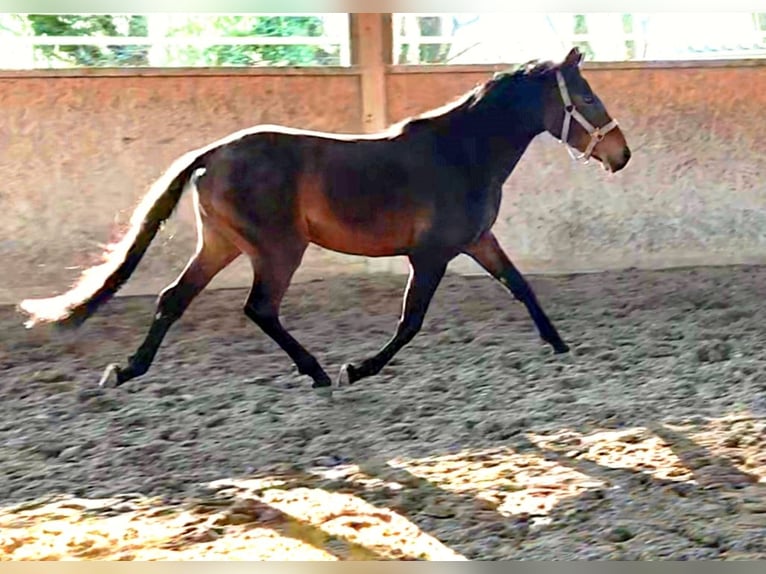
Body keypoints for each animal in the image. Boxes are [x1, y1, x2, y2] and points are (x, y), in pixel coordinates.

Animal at [18, 47, 630, 396]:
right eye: (588, 99)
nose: (621, 155)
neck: (461, 151)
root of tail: (213, 153)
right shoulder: (431, 253)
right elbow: (411, 321)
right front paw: (356, 369)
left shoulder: (478, 240)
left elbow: (521, 287)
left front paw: (560, 345)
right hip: (279, 250)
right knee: (259, 308)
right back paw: (315, 371)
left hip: (220, 244)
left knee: (174, 298)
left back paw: (126, 371)